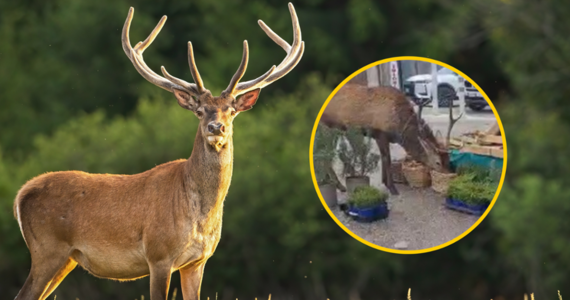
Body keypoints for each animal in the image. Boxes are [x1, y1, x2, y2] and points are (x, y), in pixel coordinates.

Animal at [13, 4, 302, 300]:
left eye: (231, 111)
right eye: (200, 111)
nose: (216, 127)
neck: (200, 216)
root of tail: (21, 195)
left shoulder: (198, 261)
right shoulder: (159, 254)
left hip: (66, 259)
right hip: (47, 249)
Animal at [320, 82, 448, 196]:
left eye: (447, 160)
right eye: (438, 162)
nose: (445, 175)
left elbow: (383, 157)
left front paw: (385, 181)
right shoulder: (380, 134)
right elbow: (387, 158)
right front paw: (392, 187)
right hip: (328, 126)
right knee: (326, 155)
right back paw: (339, 186)